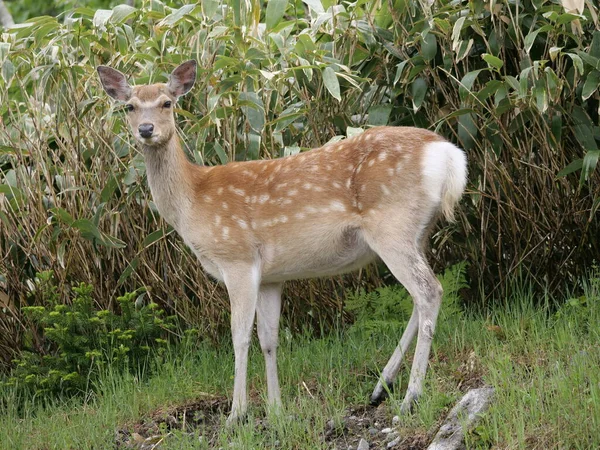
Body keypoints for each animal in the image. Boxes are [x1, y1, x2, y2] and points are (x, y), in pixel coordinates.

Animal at [97, 60, 468, 426]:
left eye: (167, 103)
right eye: (129, 106)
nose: (146, 129)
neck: (194, 200)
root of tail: (449, 155)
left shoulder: (238, 257)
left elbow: (239, 336)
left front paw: (236, 414)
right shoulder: (271, 277)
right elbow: (269, 339)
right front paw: (276, 410)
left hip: (392, 225)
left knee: (429, 290)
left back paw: (410, 397)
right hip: (418, 231)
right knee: (421, 295)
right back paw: (381, 387)